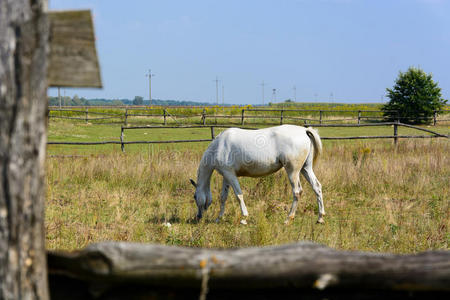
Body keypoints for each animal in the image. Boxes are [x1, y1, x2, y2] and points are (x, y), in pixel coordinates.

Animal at [188, 124, 326, 225]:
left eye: (194, 196)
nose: (198, 217)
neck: (219, 145)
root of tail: (304, 130)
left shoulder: (231, 175)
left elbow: (239, 195)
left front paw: (244, 218)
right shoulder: (226, 176)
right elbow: (223, 197)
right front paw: (218, 218)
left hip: (293, 171)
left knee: (297, 192)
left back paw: (288, 219)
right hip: (305, 169)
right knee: (317, 187)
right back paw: (320, 218)